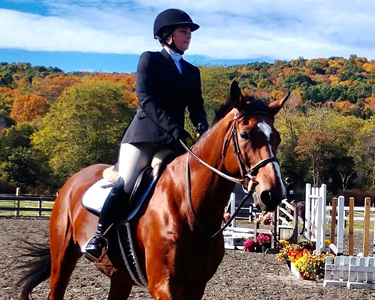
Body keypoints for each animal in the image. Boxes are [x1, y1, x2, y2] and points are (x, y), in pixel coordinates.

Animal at [16, 81, 290, 298]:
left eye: (277, 138)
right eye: (244, 135)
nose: (273, 194)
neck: (190, 206)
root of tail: (73, 181)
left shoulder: (196, 287)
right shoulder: (163, 286)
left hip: (120, 275)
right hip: (63, 259)